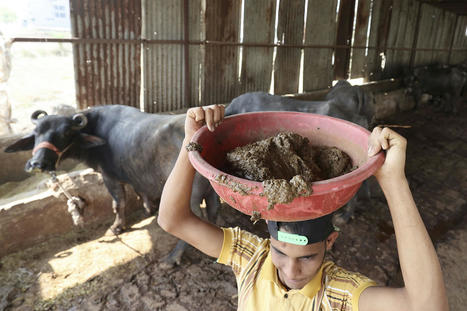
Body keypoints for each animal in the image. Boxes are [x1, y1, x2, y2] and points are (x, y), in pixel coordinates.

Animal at [4, 105, 221, 266]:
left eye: (65, 133)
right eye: (36, 133)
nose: (37, 164)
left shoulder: (109, 177)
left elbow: (118, 203)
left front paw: (116, 227)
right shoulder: (135, 175)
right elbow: (139, 190)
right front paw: (148, 208)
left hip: (192, 193)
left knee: (195, 216)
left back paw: (173, 257)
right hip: (210, 189)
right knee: (214, 209)